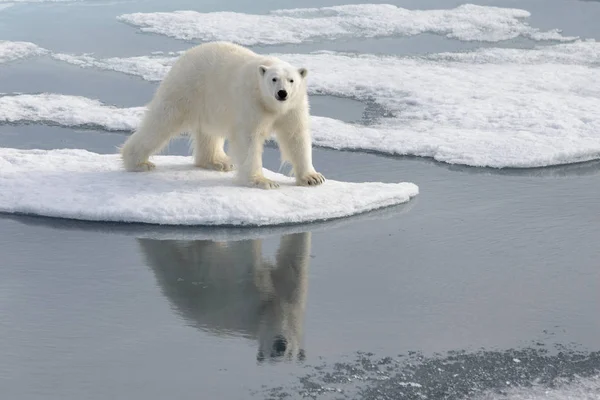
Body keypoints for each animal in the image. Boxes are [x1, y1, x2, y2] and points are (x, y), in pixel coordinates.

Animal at [120, 40, 326, 189]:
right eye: (274, 79)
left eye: (291, 80)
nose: (282, 93)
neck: (271, 105)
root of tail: (185, 55)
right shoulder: (250, 102)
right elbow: (248, 140)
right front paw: (263, 181)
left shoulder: (294, 106)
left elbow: (295, 136)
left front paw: (313, 178)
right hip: (187, 88)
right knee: (162, 121)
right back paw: (138, 163)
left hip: (210, 104)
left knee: (209, 133)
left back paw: (218, 162)